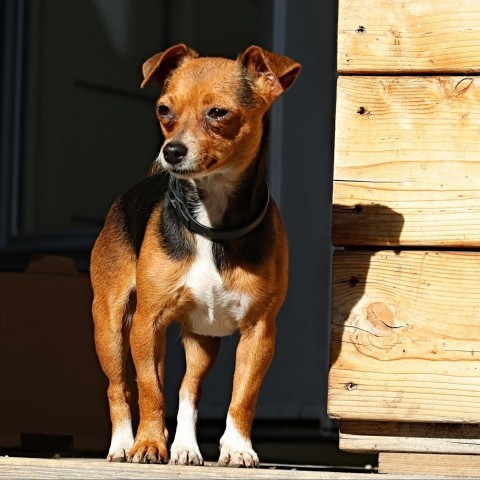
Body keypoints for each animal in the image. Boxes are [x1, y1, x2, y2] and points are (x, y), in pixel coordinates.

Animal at [90, 43, 300, 466]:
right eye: (163, 110)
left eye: (218, 113)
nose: (170, 151)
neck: (210, 221)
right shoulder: (148, 323)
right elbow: (150, 390)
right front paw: (148, 443)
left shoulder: (260, 331)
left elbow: (242, 396)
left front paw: (237, 447)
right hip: (111, 324)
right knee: (120, 386)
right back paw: (123, 443)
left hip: (202, 339)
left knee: (188, 390)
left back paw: (185, 447)